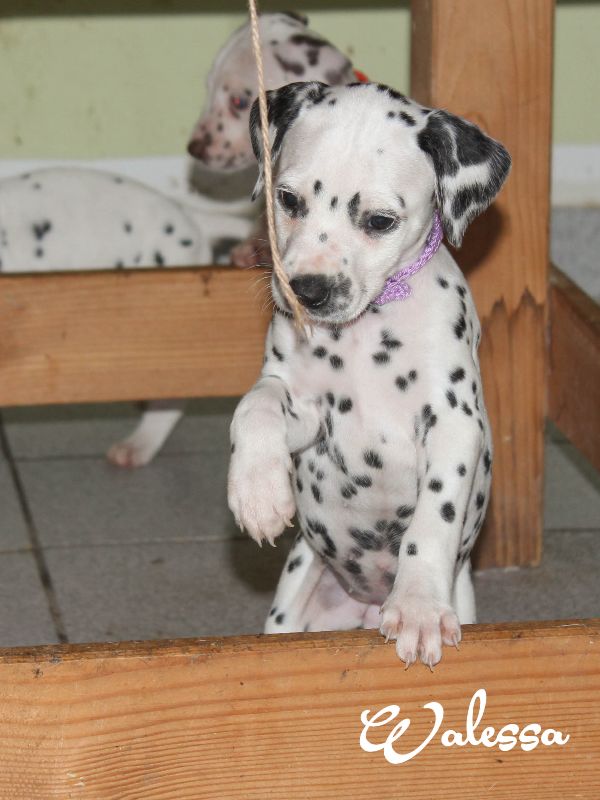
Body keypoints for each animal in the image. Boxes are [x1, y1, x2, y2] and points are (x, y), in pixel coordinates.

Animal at [227, 81, 510, 666]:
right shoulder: (307, 410)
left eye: (380, 220)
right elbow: (255, 405)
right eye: (287, 199)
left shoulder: (453, 422)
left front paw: (419, 604)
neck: (364, 335)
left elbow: (434, 516)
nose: (307, 292)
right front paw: (257, 490)